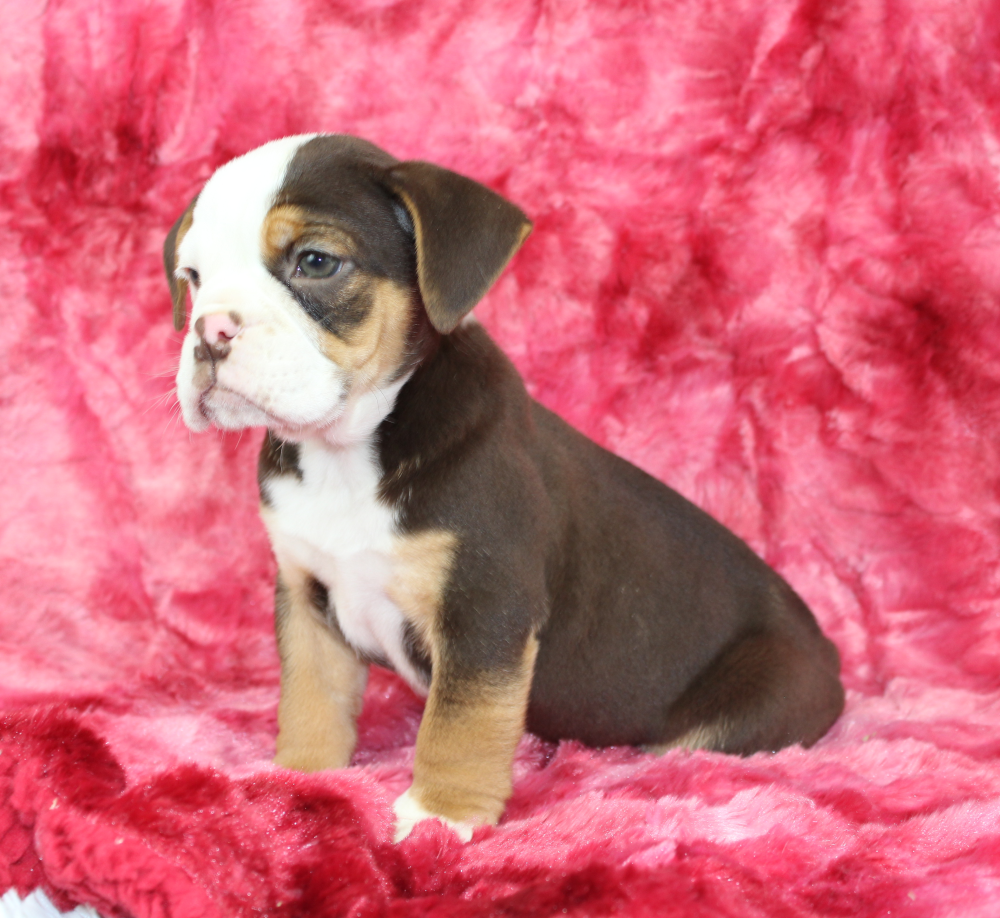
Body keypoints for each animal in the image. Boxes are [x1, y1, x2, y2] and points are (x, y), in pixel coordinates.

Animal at [165, 134, 844, 842]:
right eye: (193, 278)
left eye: (316, 262)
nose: (210, 331)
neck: (347, 451)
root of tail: (830, 654)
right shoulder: (306, 597)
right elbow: (311, 698)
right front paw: (297, 776)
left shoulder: (484, 608)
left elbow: (460, 721)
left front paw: (441, 814)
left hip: (749, 702)